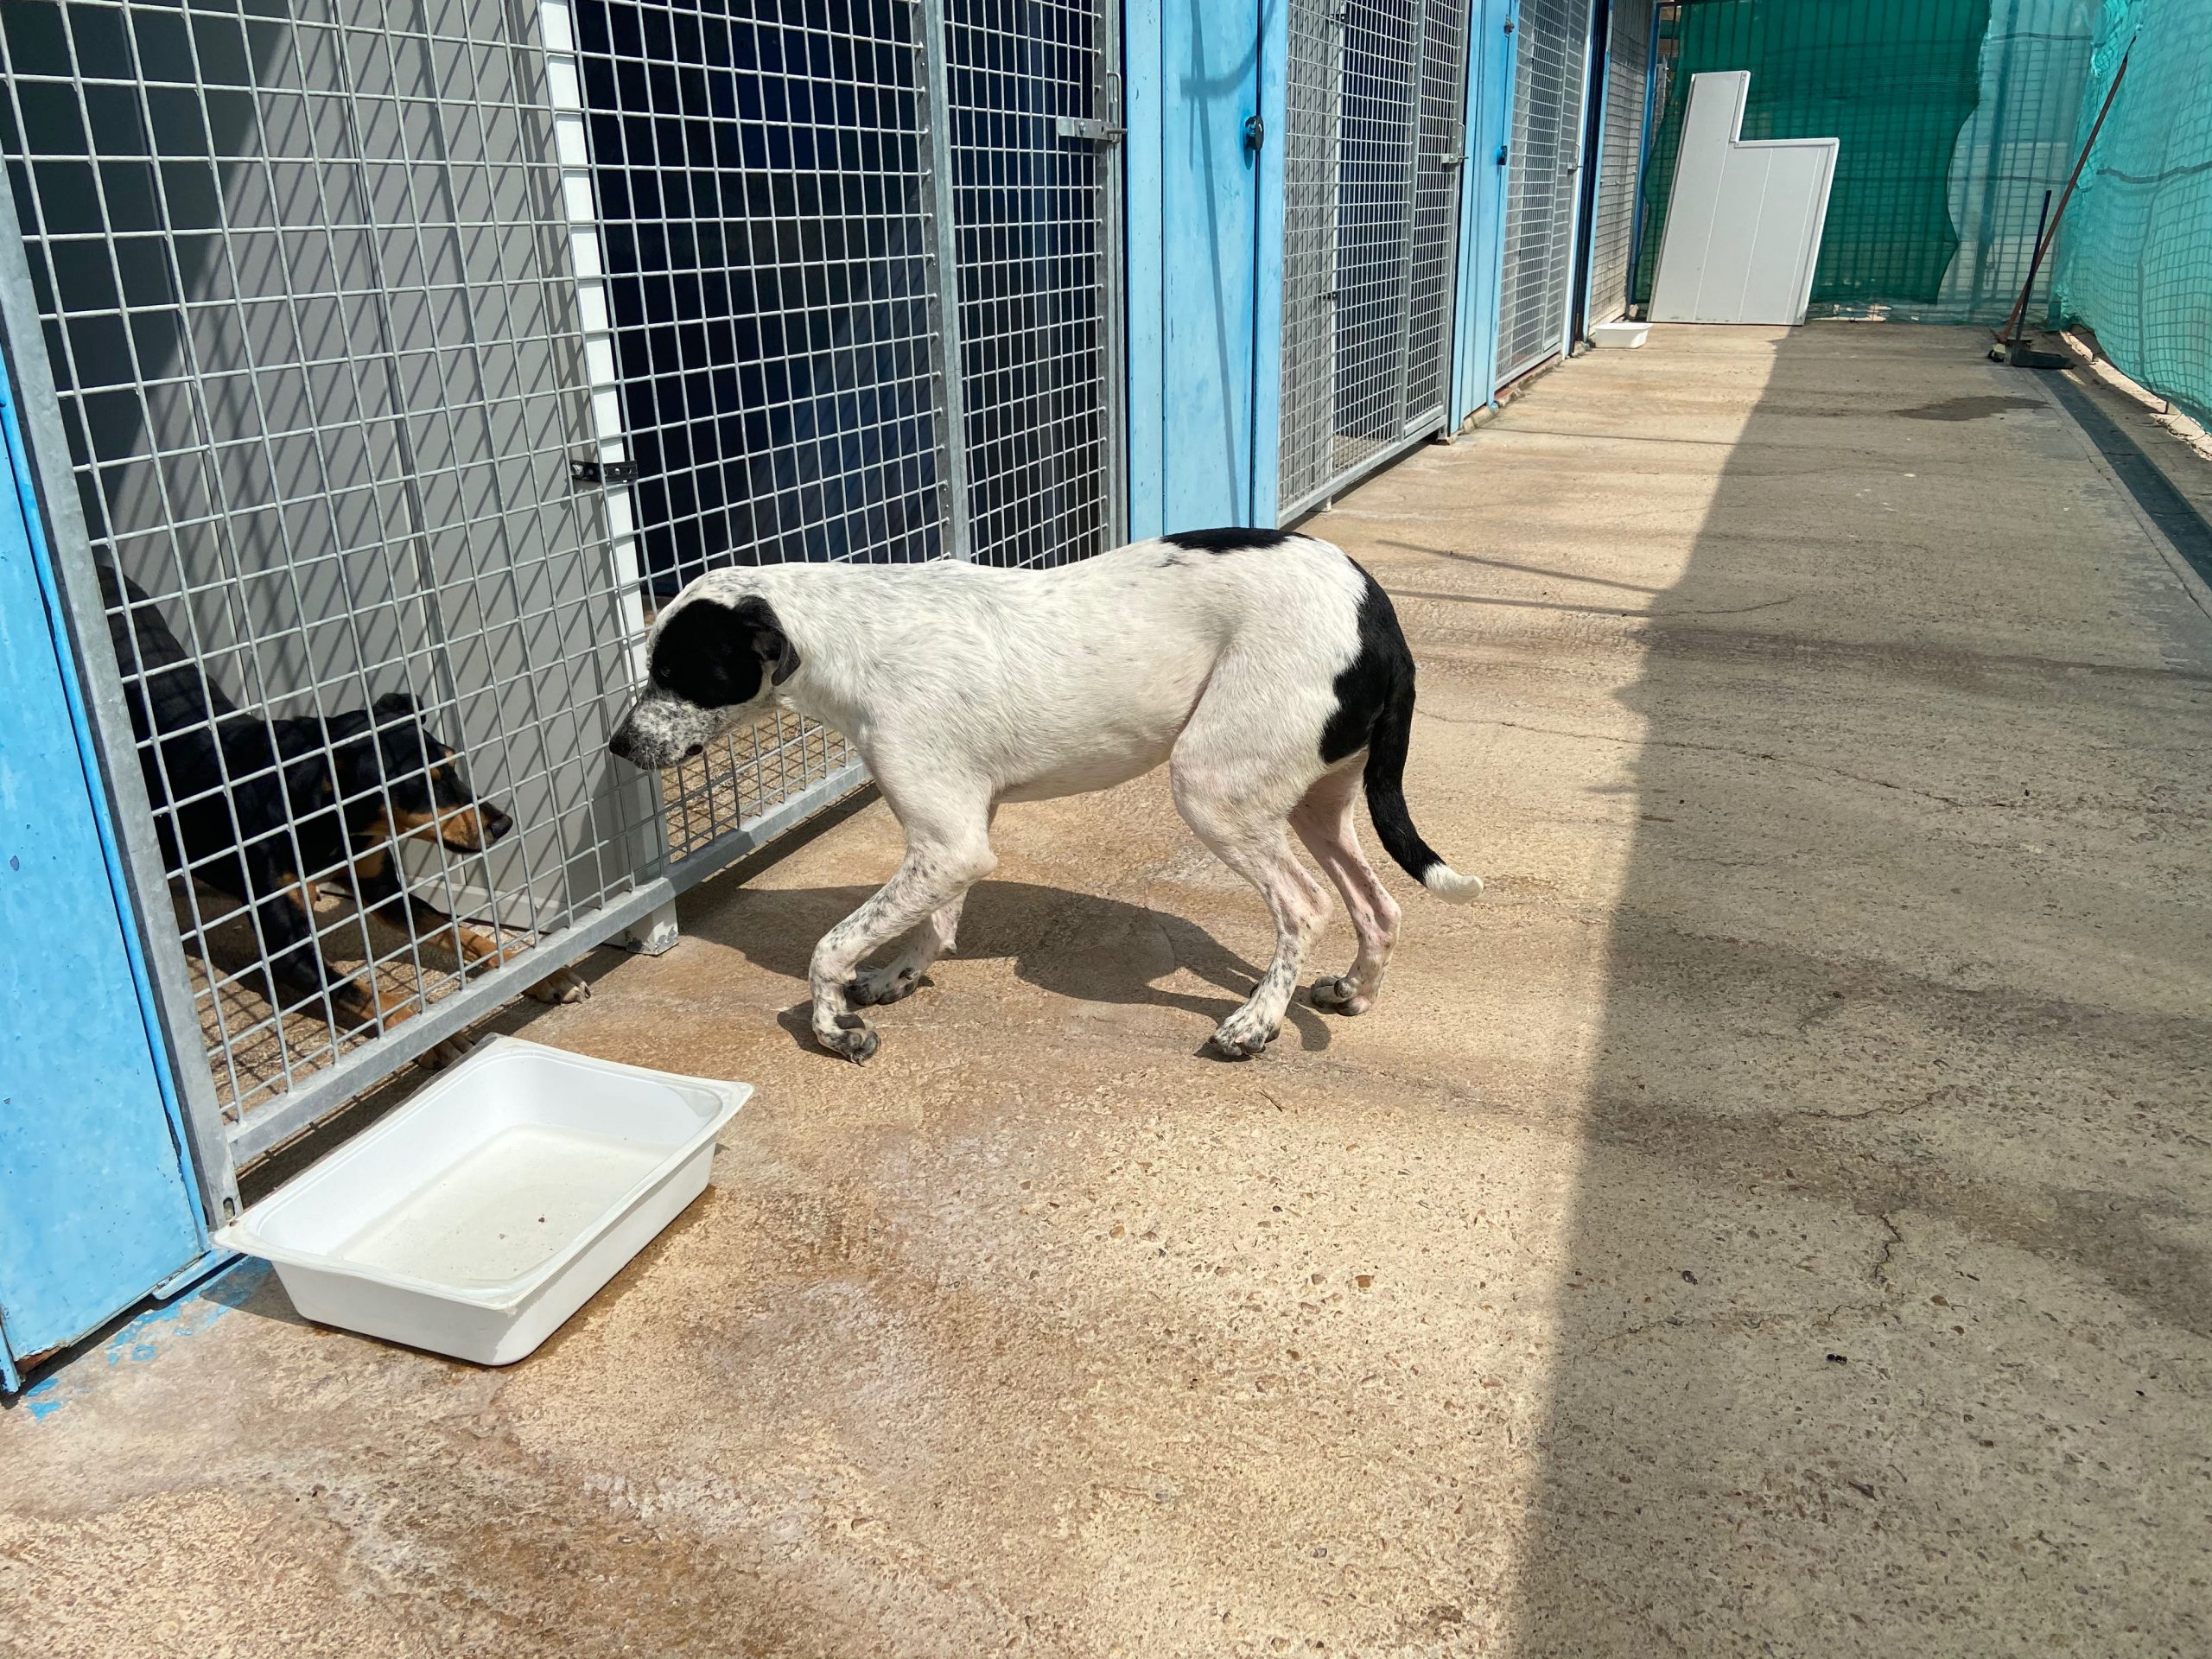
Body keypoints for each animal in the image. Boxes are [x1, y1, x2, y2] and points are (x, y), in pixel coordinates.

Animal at [98, 565, 583, 1030]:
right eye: (420, 783)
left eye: (451, 762)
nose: (502, 823)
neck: (329, 825)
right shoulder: (289, 949)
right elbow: (367, 995)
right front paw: (437, 1041)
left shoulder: (381, 886)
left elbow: (457, 930)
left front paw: (543, 974)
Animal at [608, 528, 1479, 1061]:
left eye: (677, 670)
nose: (618, 747)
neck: (852, 637)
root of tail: (1375, 604)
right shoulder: (956, 838)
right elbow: (934, 925)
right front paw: (896, 978)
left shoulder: (950, 844)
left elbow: (828, 946)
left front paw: (832, 1028)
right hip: (1317, 799)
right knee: (1379, 904)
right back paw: (1354, 993)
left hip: (1211, 787)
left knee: (1305, 904)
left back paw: (1256, 1022)